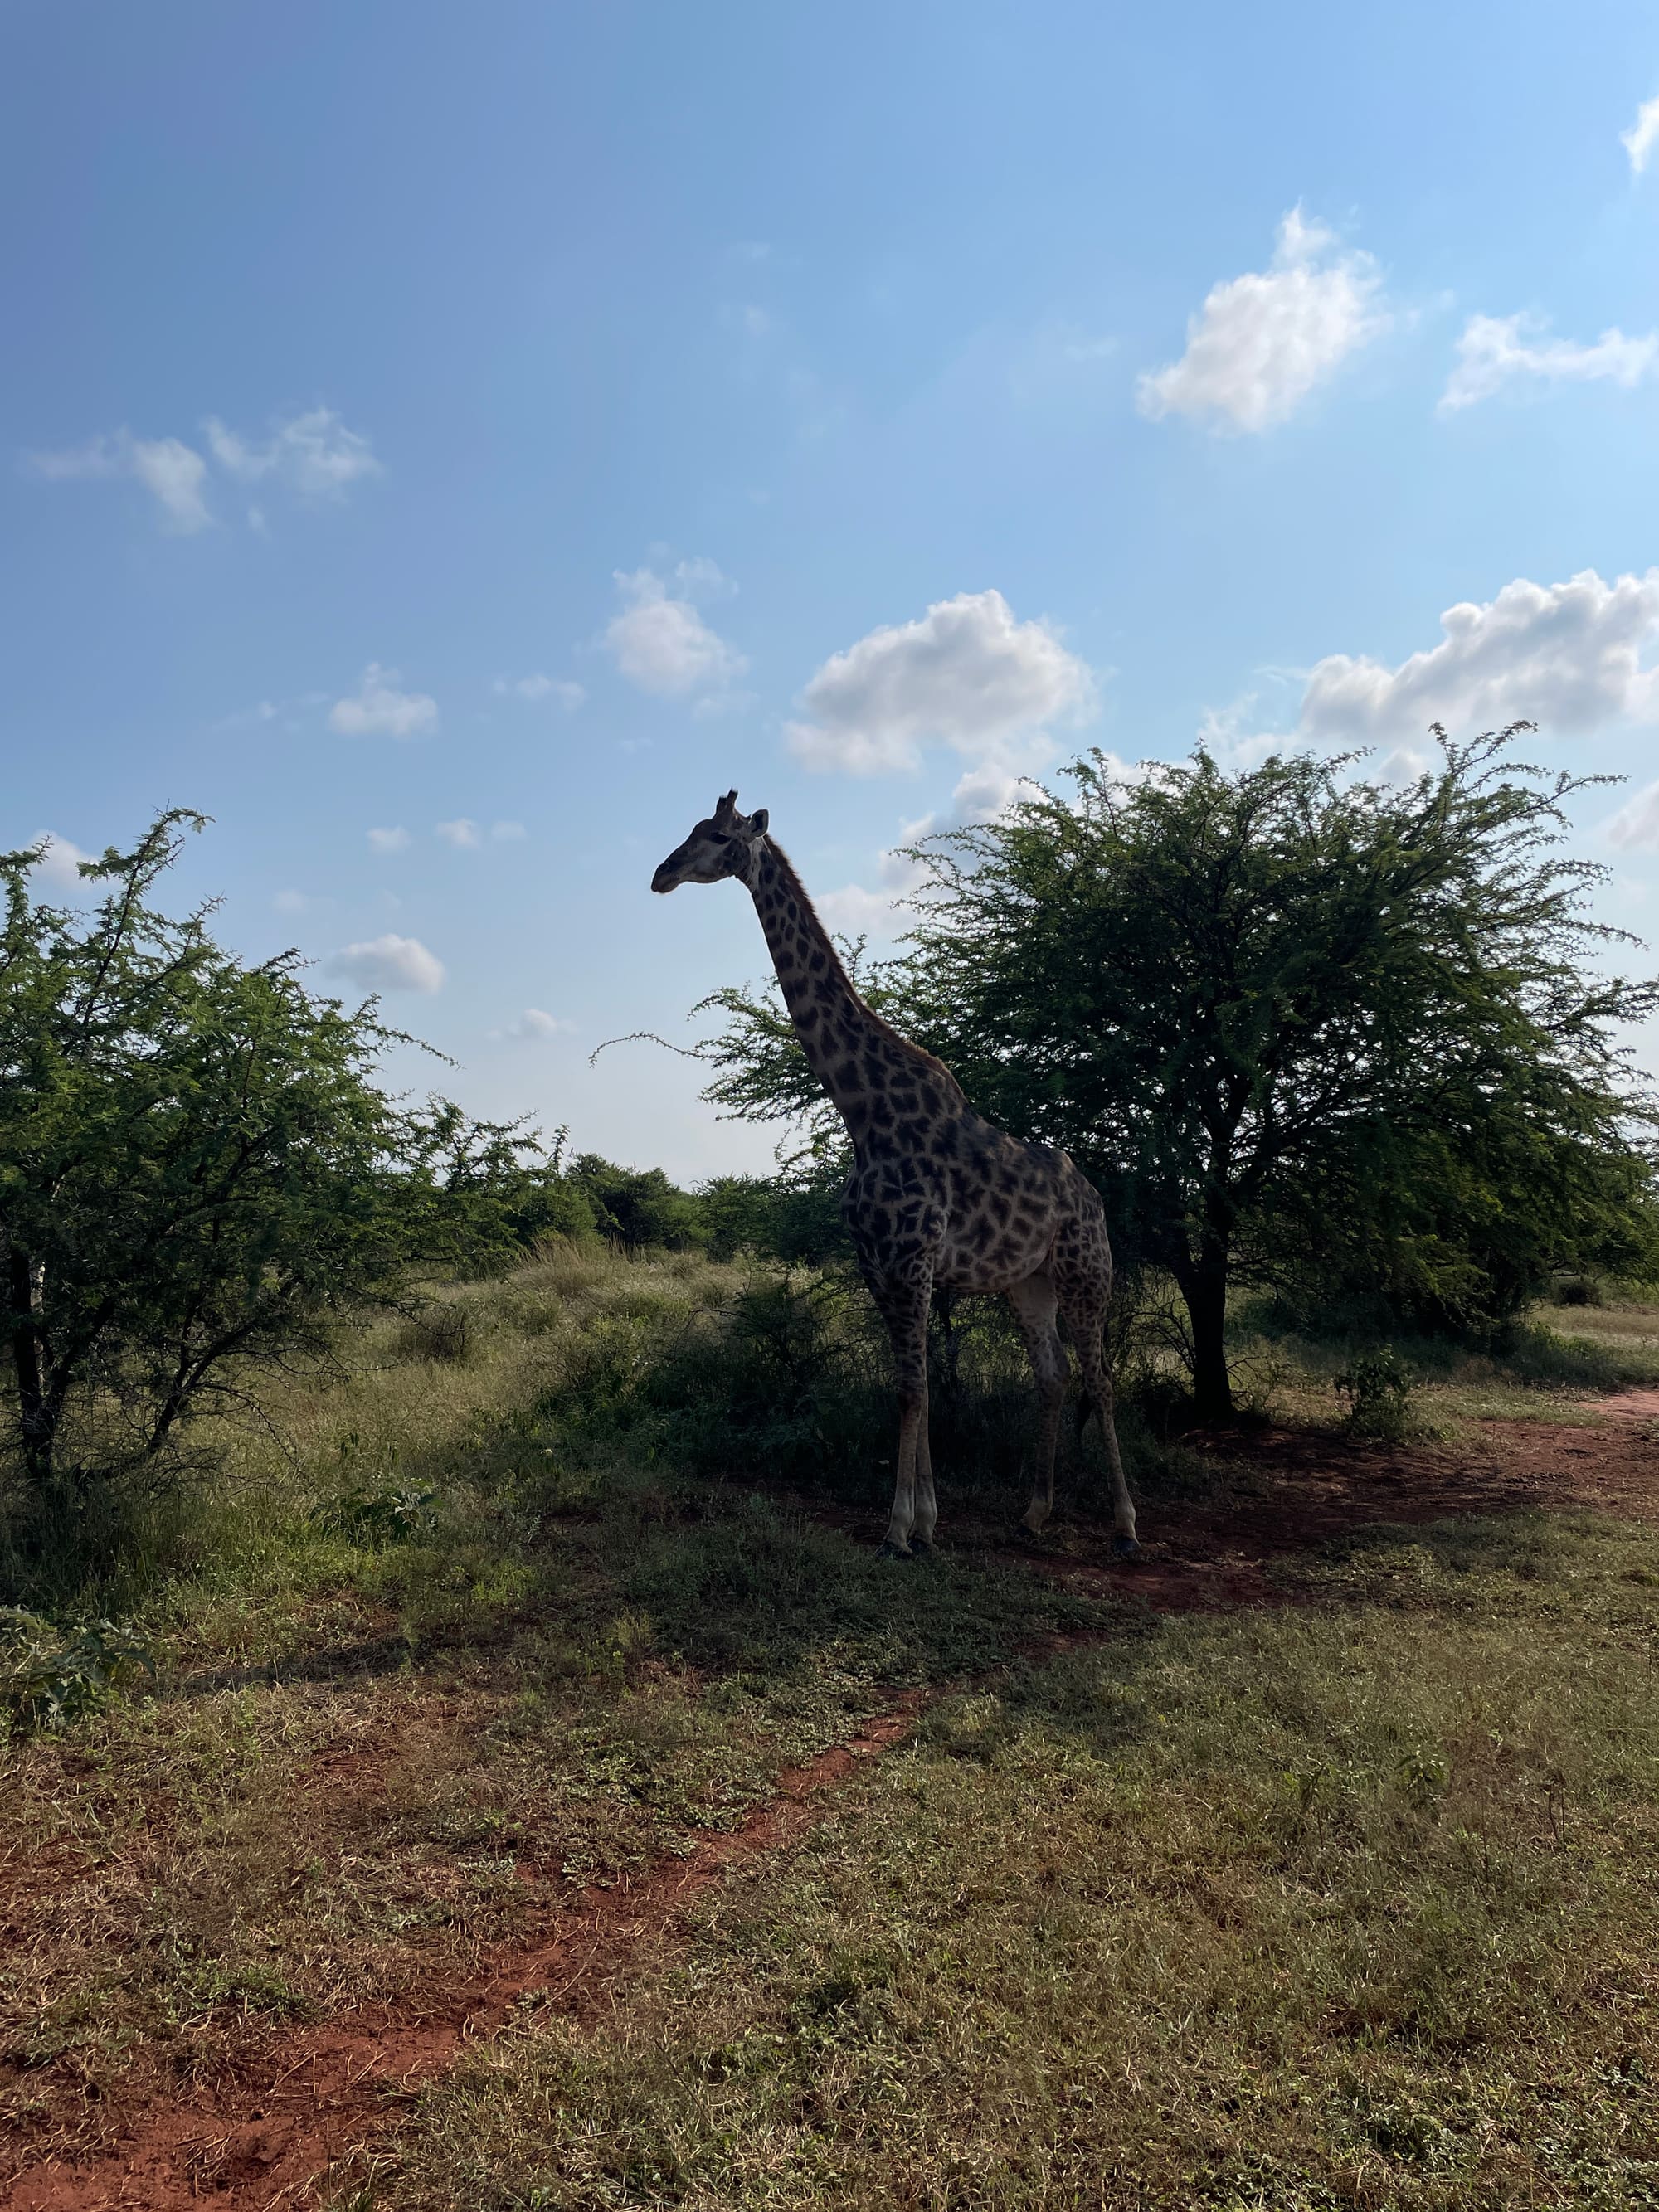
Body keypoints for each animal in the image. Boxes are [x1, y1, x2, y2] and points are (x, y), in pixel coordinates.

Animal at [652, 790, 1139, 1560]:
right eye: (692, 829)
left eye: (721, 837)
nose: (661, 874)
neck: (863, 1111)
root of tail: (1092, 1195)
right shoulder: (877, 1264)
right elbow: (913, 1387)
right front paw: (928, 1523)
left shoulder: (910, 1260)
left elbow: (914, 1390)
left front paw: (898, 1530)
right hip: (1026, 1282)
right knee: (1054, 1374)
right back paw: (1034, 1513)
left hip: (1085, 1271)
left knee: (1102, 1375)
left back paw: (1124, 1524)